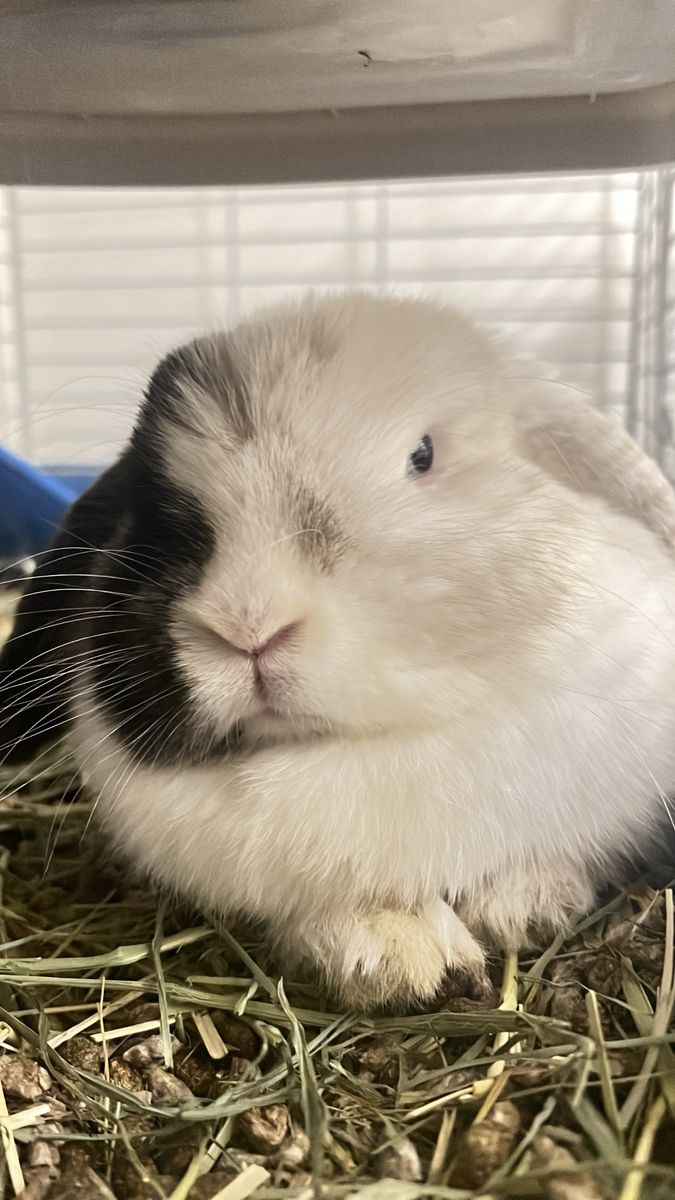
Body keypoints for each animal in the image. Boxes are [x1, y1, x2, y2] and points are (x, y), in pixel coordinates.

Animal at [2, 291, 675, 1010]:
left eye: (423, 455)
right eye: (154, 511)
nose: (248, 624)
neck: (353, 752)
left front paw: (522, 906)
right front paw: (404, 961)